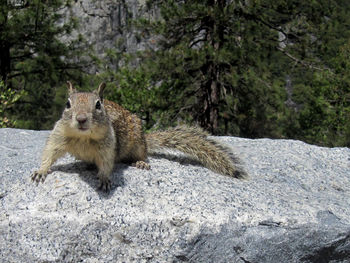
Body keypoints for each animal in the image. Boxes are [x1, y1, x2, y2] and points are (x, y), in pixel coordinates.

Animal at [31, 82, 247, 192]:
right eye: (68, 104)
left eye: (98, 104)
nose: (82, 119)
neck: (83, 137)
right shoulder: (58, 136)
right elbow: (48, 154)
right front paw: (40, 171)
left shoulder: (108, 146)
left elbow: (107, 163)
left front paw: (104, 178)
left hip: (137, 144)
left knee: (143, 154)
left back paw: (141, 163)